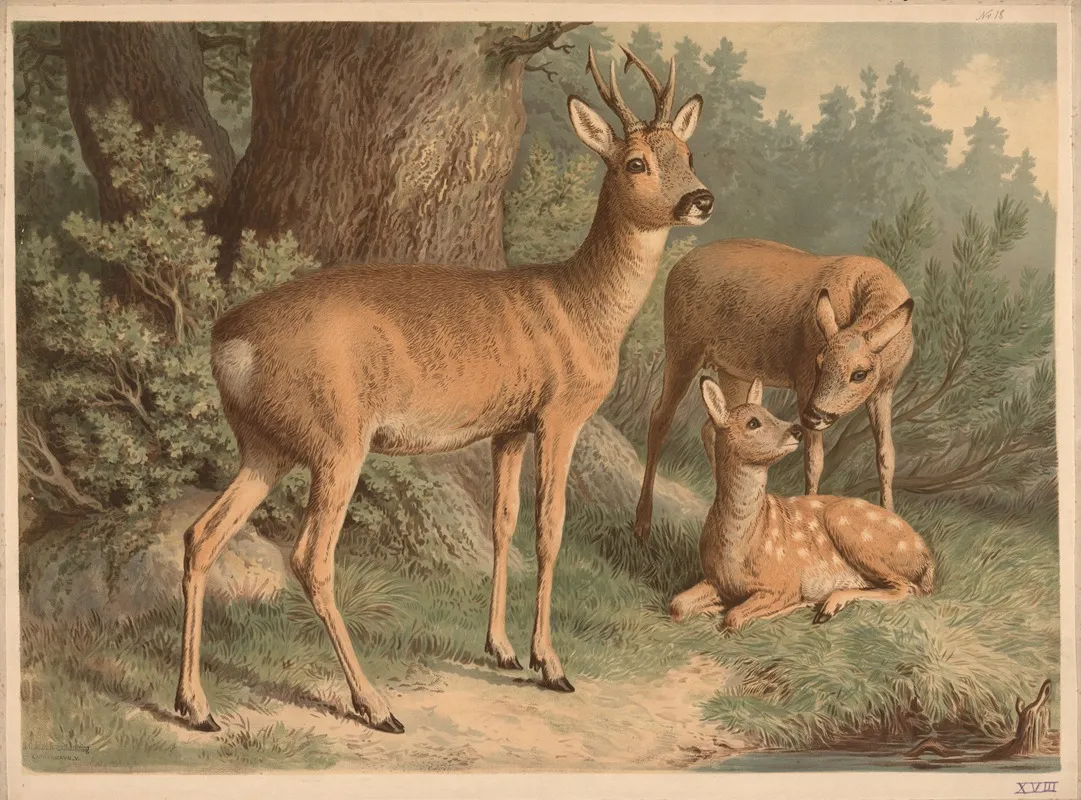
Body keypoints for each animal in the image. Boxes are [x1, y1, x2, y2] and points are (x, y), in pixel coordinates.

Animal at [173, 45, 715, 736]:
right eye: (636, 162)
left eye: (689, 154)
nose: (701, 198)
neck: (581, 308)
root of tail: (228, 343)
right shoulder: (560, 413)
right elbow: (551, 527)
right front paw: (550, 664)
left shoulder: (509, 426)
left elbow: (504, 523)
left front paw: (502, 649)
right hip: (337, 439)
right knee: (309, 558)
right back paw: (374, 705)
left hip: (266, 446)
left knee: (201, 535)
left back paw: (195, 705)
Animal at [634, 238, 914, 543]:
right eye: (819, 362)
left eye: (859, 374)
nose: (813, 416)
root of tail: (677, 267)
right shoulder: (803, 377)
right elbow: (814, 460)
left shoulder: (885, 389)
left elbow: (886, 455)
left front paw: (892, 520)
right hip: (683, 347)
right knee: (661, 416)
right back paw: (642, 524)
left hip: (733, 371)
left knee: (712, 426)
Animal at [668, 376, 934, 631]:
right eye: (753, 423)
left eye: (770, 413)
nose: (796, 429)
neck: (737, 547)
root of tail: (926, 556)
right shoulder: (716, 580)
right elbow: (677, 605)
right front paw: (709, 608)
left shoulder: (785, 582)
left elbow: (734, 618)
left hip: (853, 532)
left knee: (905, 588)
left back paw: (828, 605)